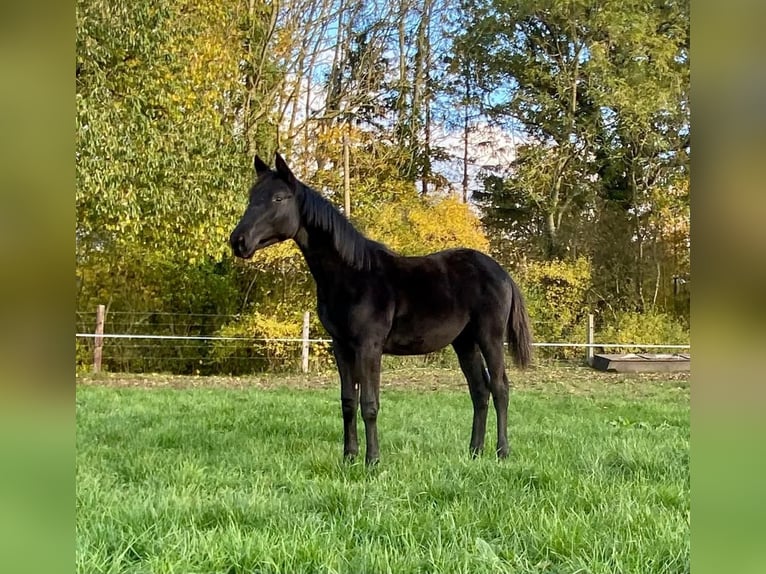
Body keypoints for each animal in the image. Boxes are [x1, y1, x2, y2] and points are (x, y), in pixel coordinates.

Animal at [231, 154, 536, 468]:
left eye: (279, 198)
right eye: (252, 196)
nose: (238, 241)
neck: (352, 275)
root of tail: (503, 274)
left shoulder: (369, 346)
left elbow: (369, 403)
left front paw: (372, 460)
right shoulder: (341, 345)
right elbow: (348, 402)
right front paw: (349, 458)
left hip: (490, 337)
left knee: (499, 388)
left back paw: (502, 452)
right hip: (464, 343)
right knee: (479, 391)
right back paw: (474, 452)